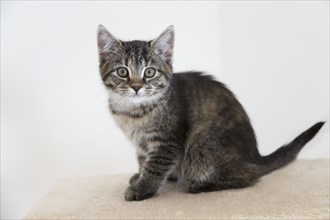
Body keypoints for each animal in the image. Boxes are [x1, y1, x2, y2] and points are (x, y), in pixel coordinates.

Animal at [96, 24, 324, 201]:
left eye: (149, 72)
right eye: (122, 71)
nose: (136, 87)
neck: (133, 112)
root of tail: (255, 158)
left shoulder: (168, 141)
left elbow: (156, 165)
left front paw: (143, 189)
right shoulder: (142, 143)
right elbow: (144, 160)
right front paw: (140, 176)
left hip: (201, 143)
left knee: (249, 177)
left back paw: (200, 184)